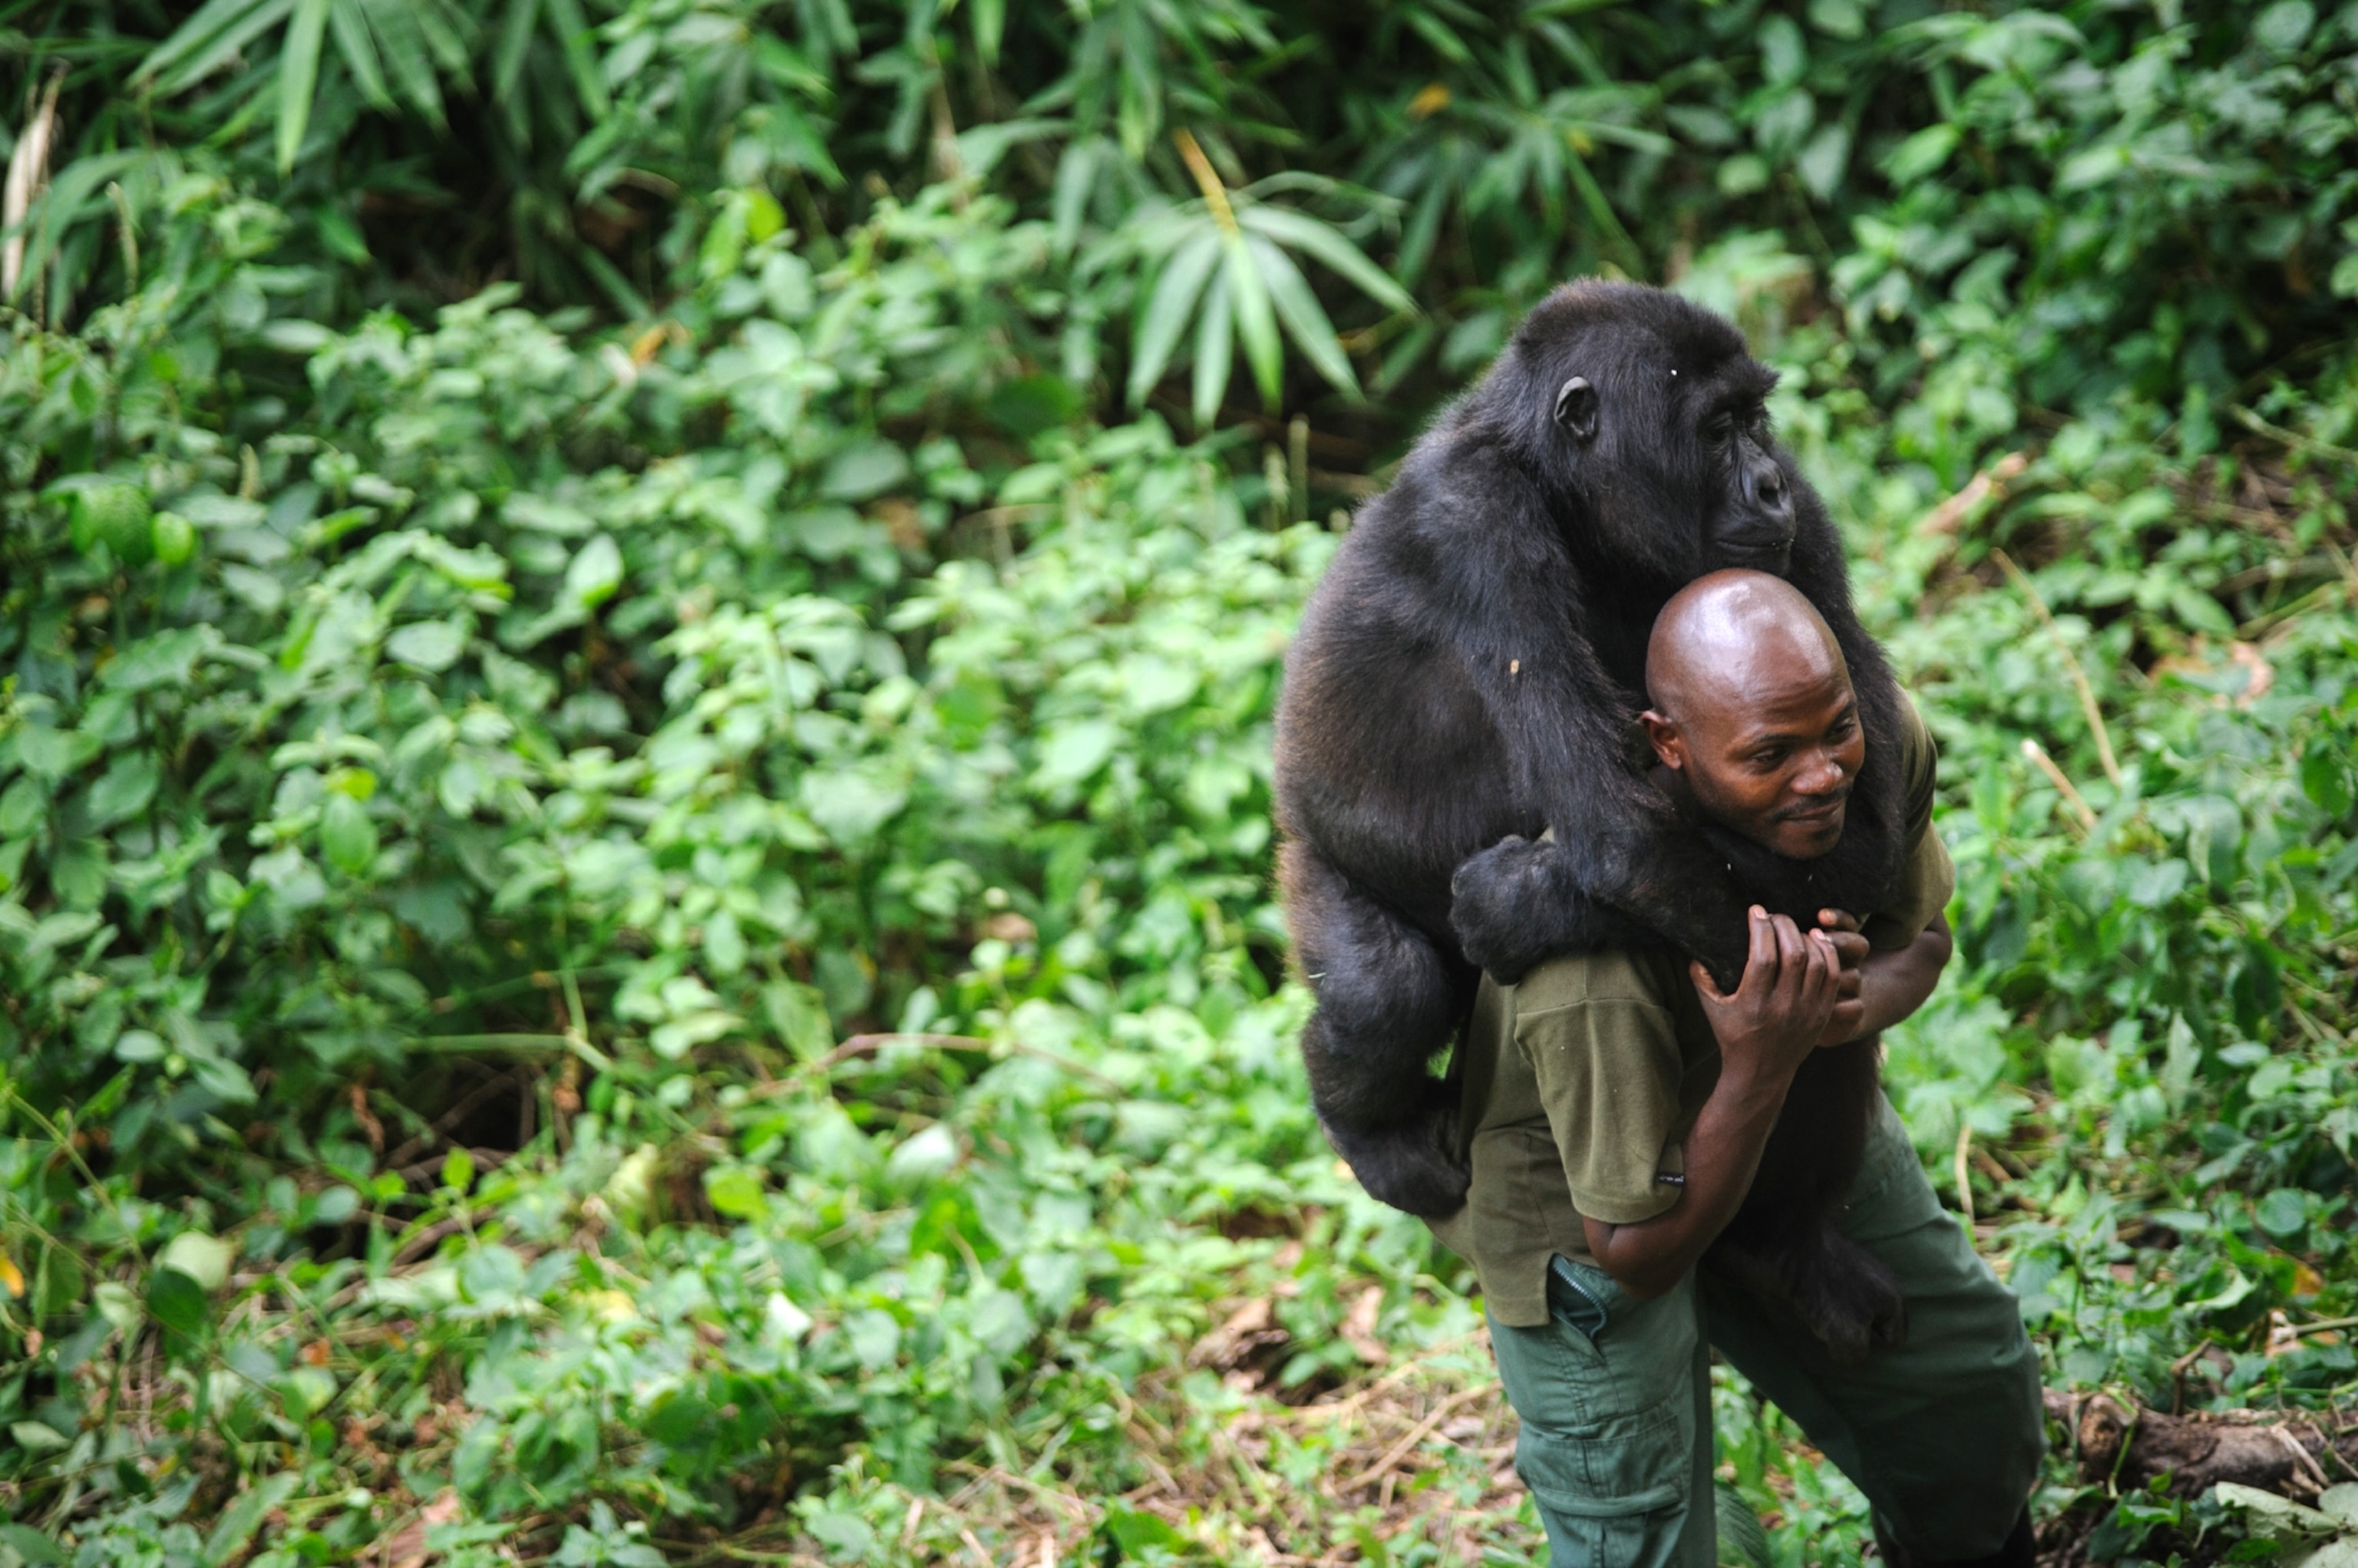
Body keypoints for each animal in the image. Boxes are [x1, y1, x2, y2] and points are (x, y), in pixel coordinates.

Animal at [1272, 280, 1911, 1355]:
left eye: (1758, 421)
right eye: (1716, 428)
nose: (1768, 486)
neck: (1566, 491)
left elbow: (1868, 822)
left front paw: (1516, 906)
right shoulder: (1476, 527)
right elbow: (1631, 842)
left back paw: (1786, 1244)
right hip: (1311, 856)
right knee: (1381, 987)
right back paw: (1368, 1128)